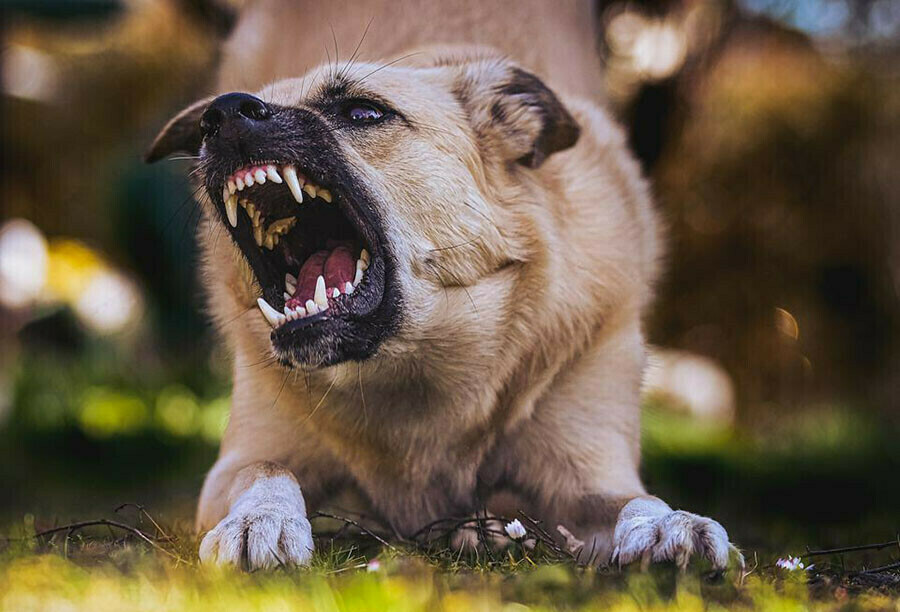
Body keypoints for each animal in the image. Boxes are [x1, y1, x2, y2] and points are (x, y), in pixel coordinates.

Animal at [146, 4, 740, 572]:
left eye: (363, 112)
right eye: (214, 118)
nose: (221, 114)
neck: (412, 370)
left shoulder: (589, 474)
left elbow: (634, 500)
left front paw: (670, 524)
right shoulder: (238, 463)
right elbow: (268, 469)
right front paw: (260, 520)